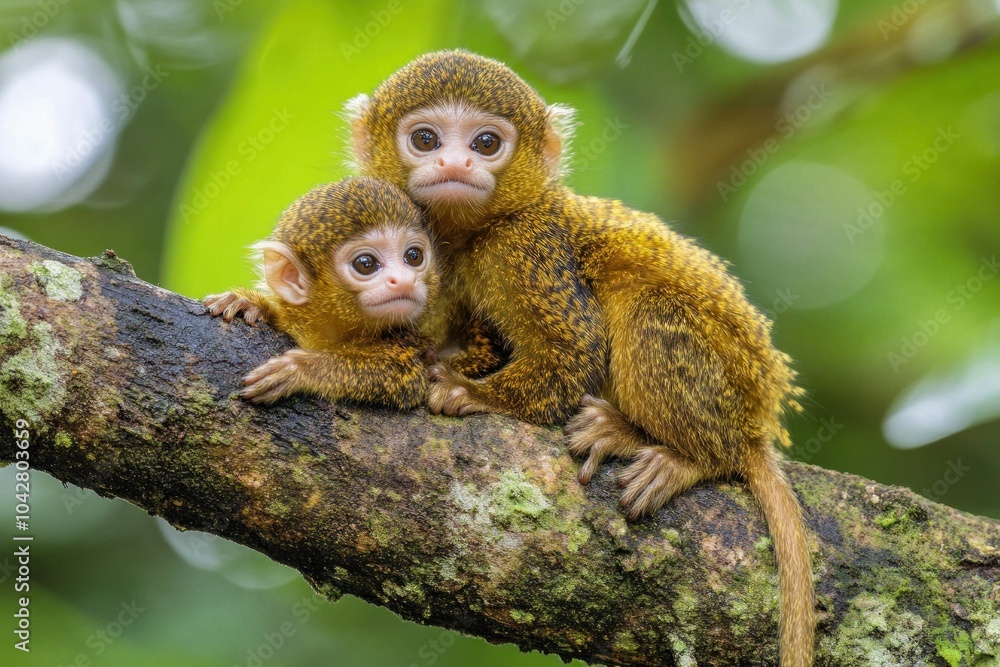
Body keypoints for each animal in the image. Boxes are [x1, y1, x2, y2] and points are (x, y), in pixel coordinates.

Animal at [204, 177, 440, 409]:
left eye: (413, 256)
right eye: (365, 264)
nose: (404, 280)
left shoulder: (408, 340)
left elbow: (407, 379)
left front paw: (304, 368)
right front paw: (249, 302)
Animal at [346, 51, 814, 666]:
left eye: (486, 143)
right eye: (425, 139)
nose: (454, 162)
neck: (468, 235)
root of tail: (756, 418)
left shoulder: (526, 245)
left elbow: (572, 350)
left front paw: (473, 393)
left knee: (650, 311)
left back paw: (685, 454)